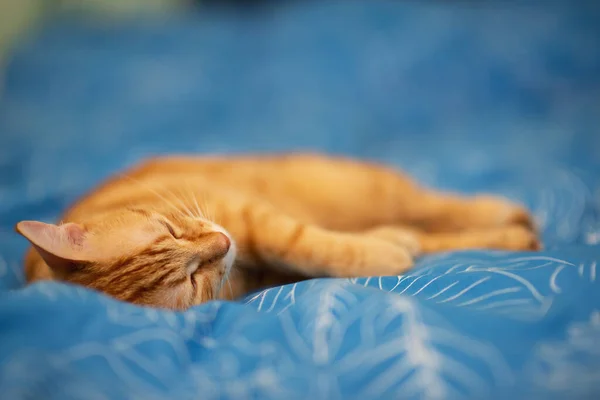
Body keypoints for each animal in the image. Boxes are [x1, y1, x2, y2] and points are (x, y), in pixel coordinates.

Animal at [15, 153, 540, 310]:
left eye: (169, 228)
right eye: (191, 280)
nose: (223, 242)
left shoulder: (250, 218)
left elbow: (304, 242)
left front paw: (380, 252)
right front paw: (389, 248)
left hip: (360, 190)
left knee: (435, 205)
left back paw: (504, 211)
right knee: (431, 232)